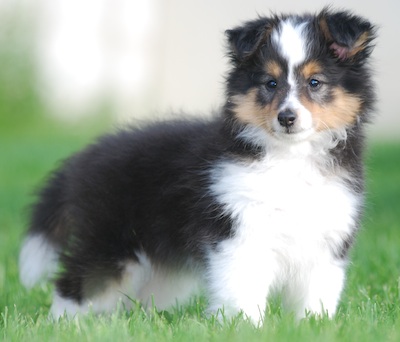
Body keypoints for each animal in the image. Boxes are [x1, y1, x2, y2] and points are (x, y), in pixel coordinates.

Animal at [18, 8, 376, 324]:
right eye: (270, 83)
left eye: (315, 82)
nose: (286, 118)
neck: (290, 157)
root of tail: (85, 158)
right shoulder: (238, 232)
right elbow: (242, 291)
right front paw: (245, 326)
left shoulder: (326, 238)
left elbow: (317, 295)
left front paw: (315, 325)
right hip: (112, 243)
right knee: (76, 284)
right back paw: (64, 325)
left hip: (160, 263)